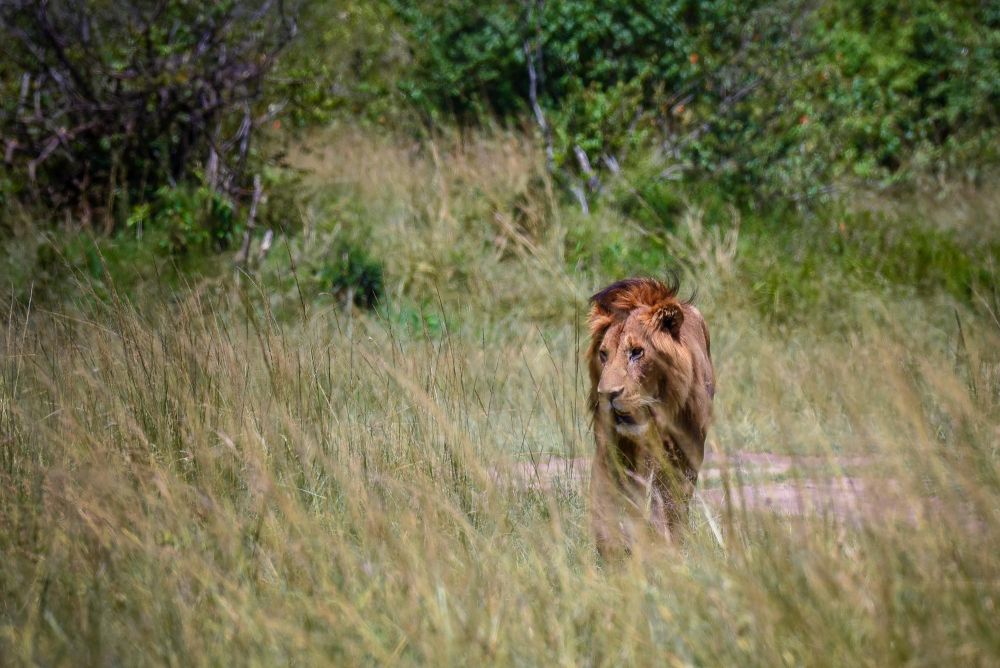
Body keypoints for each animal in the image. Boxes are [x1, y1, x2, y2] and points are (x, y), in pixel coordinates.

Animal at [584, 274, 720, 556]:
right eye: (604, 354)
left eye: (637, 352)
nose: (607, 394)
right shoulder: (612, 449)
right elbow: (608, 499)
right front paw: (612, 549)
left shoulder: (683, 453)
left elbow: (669, 504)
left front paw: (665, 548)